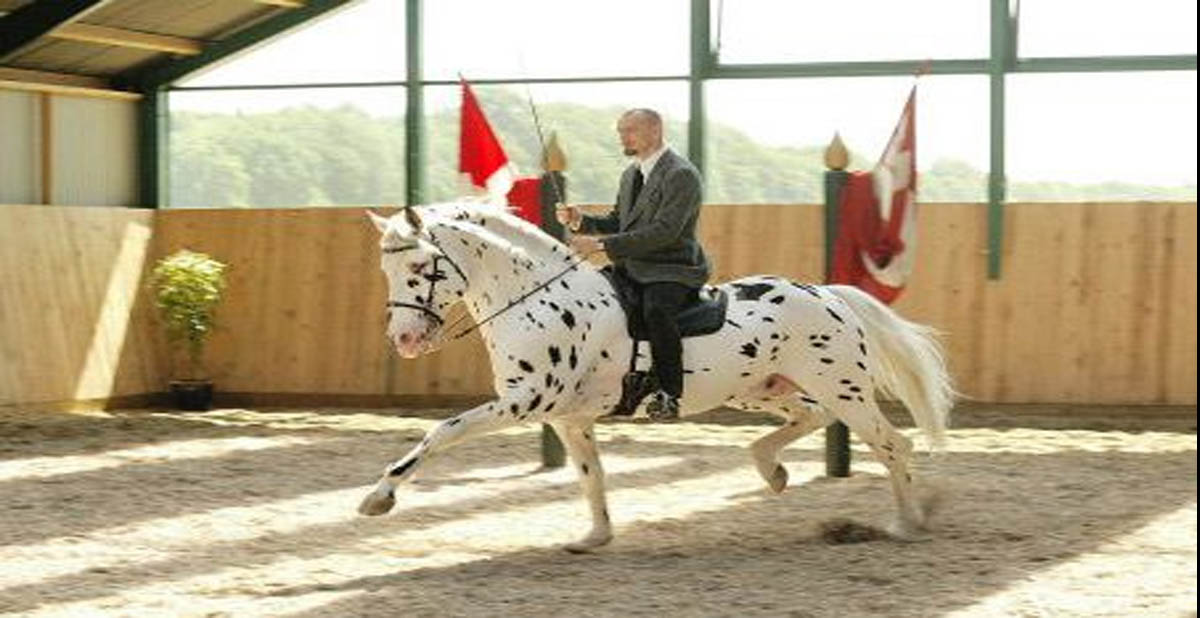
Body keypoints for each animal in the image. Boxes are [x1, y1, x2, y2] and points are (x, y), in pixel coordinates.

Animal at [355, 205, 955, 554]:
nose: (404, 340)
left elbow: (442, 432)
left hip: (841, 387)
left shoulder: (526, 401)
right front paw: (596, 536)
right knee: (811, 416)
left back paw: (906, 523)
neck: (534, 300)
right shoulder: (568, 417)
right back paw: (773, 470)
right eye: (386, 271)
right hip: (761, 389)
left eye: (422, 269)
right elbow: (591, 475)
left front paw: (378, 498)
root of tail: (829, 293)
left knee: (893, 445)